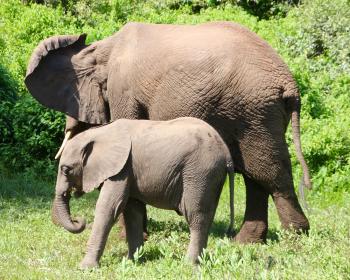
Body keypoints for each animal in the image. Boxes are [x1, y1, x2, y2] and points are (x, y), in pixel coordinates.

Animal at [24, 21, 310, 243]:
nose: (78, 221)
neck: (103, 47)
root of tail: (289, 82)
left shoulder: (123, 88)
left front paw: (126, 238)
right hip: (256, 114)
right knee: (254, 174)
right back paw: (246, 242)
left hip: (254, 110)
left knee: (269, 173)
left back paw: (294, 238)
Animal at [50, 117, 234, 268]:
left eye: (66, 170)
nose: (78, 219)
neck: (99, 133)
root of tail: (227, 153)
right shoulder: (129, 171)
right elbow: (132, 211)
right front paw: (133, 261)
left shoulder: (121, 170)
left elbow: (108, 208)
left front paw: (85, 268)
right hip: (211, 177)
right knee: (207, 215)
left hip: (200, 173)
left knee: (196, 216)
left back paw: (189, 264)